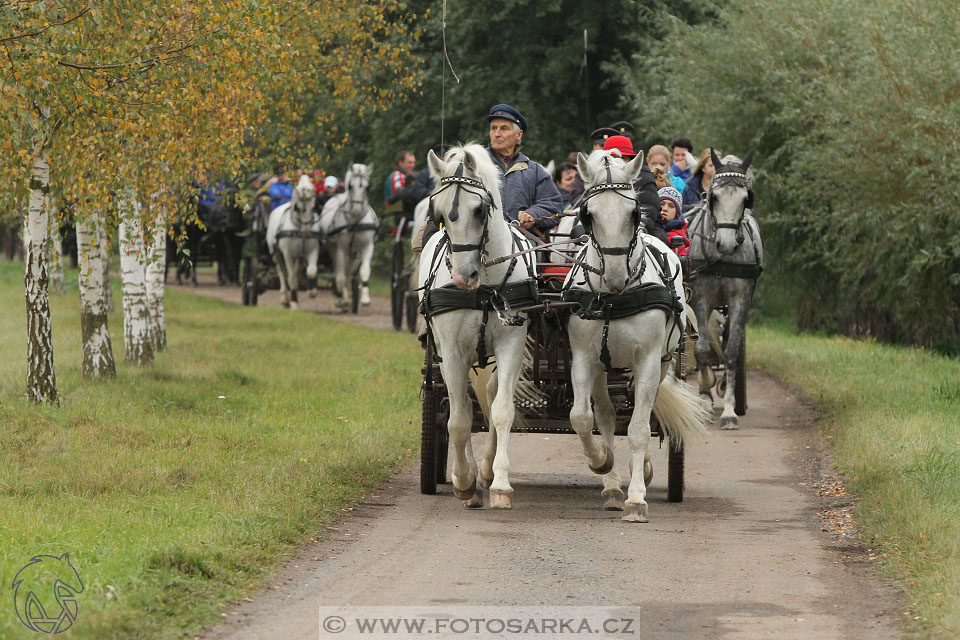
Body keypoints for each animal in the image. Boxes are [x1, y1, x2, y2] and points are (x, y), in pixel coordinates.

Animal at [266, 172, 322, 308]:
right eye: (299, 207)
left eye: (313, 207)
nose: (307, 230)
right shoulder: (288, 255)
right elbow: (291, 279)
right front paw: (293, 302)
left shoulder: (313, 250)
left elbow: (311, 271)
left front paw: (312, 291)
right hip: (275, 252)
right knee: (281, 272)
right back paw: (284, 297)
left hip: (298, 256)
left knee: (298, 272)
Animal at [318, 161, 378, 308]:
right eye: (350, 186)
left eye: (367, 187)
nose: (356, 210)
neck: (355, 221)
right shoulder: (341, 248)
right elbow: (340, 273)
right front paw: (341, 297)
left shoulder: (368, 246)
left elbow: (364, 270)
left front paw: (365, 298)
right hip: (333, 248)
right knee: (339, 269)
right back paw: (342, 295)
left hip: (353, 251)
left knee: (349, 269)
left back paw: (349, 293)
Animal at [420, 144, 540, 510]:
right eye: (440, 213)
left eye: (479, 209)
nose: (463, 276)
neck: (484, 287)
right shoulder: (452, 352)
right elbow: (458, 420)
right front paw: (463, 481)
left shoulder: (511, 344)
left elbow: (501, 412)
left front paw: (499, 483)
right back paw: (472, 477)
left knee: (489, 394)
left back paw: (485, 471)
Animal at [568, 152, 708, 524]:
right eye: (588, 214)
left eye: (633, 213)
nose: (616, 276)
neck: (614, 298)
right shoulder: (583, 359)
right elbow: (582, 418)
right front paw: (601, 462)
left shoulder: (646, 362)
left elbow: (639, 428)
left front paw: (637, 499)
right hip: (604, 367)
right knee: (605, 414)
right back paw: (612, 488)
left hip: (662, 363)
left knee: (644, 412)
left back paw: (638, 474)